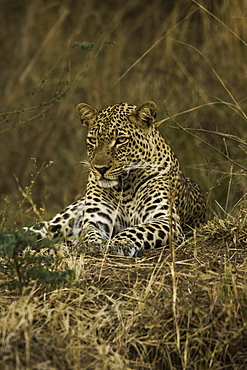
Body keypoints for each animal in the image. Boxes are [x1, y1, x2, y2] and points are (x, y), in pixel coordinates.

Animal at [27, 101, 206, 258]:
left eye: (120, 140)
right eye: (93, 140)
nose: (100, 169)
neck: (124, 187)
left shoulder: (165, 219)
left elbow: (137, 230)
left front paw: (117, 243)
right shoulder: (96, 219)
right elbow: (89, 232)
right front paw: (88, 244)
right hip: (59, 221)